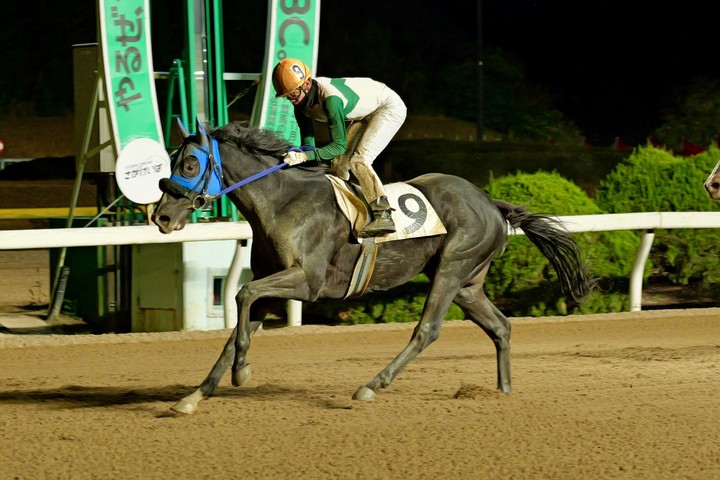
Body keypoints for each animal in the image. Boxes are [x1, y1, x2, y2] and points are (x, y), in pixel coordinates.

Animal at [152, 117, 595, 414]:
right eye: (173, 161)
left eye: (189, 165)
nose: (161, 217)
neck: (282, 201)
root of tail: (491, 202)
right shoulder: (272, 280)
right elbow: (237, 326)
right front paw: (195, 395)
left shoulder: (307, 281)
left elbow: (243, 295)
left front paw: (242, 372)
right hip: (468, 285)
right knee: (500, 326)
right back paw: (503, 391)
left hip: (452, 269)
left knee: (427, 330)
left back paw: (370, 386)